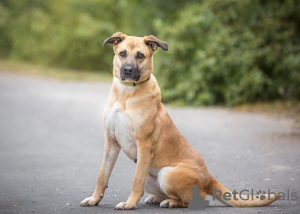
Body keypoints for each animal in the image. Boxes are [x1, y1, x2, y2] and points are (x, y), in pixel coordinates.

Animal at [79, 32, 278, 210]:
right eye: (122, 53)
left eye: (140, 56)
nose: (128, 70)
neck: (126, 95)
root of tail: (208, 177)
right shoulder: (111, 141)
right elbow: (102, 175)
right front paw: (94, 199)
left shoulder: (144, 144)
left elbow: (136, 181)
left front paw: (129, 204)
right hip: (152, 178)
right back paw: (158, 198)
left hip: (167, 174)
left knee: (193, 200)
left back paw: (171, 202)